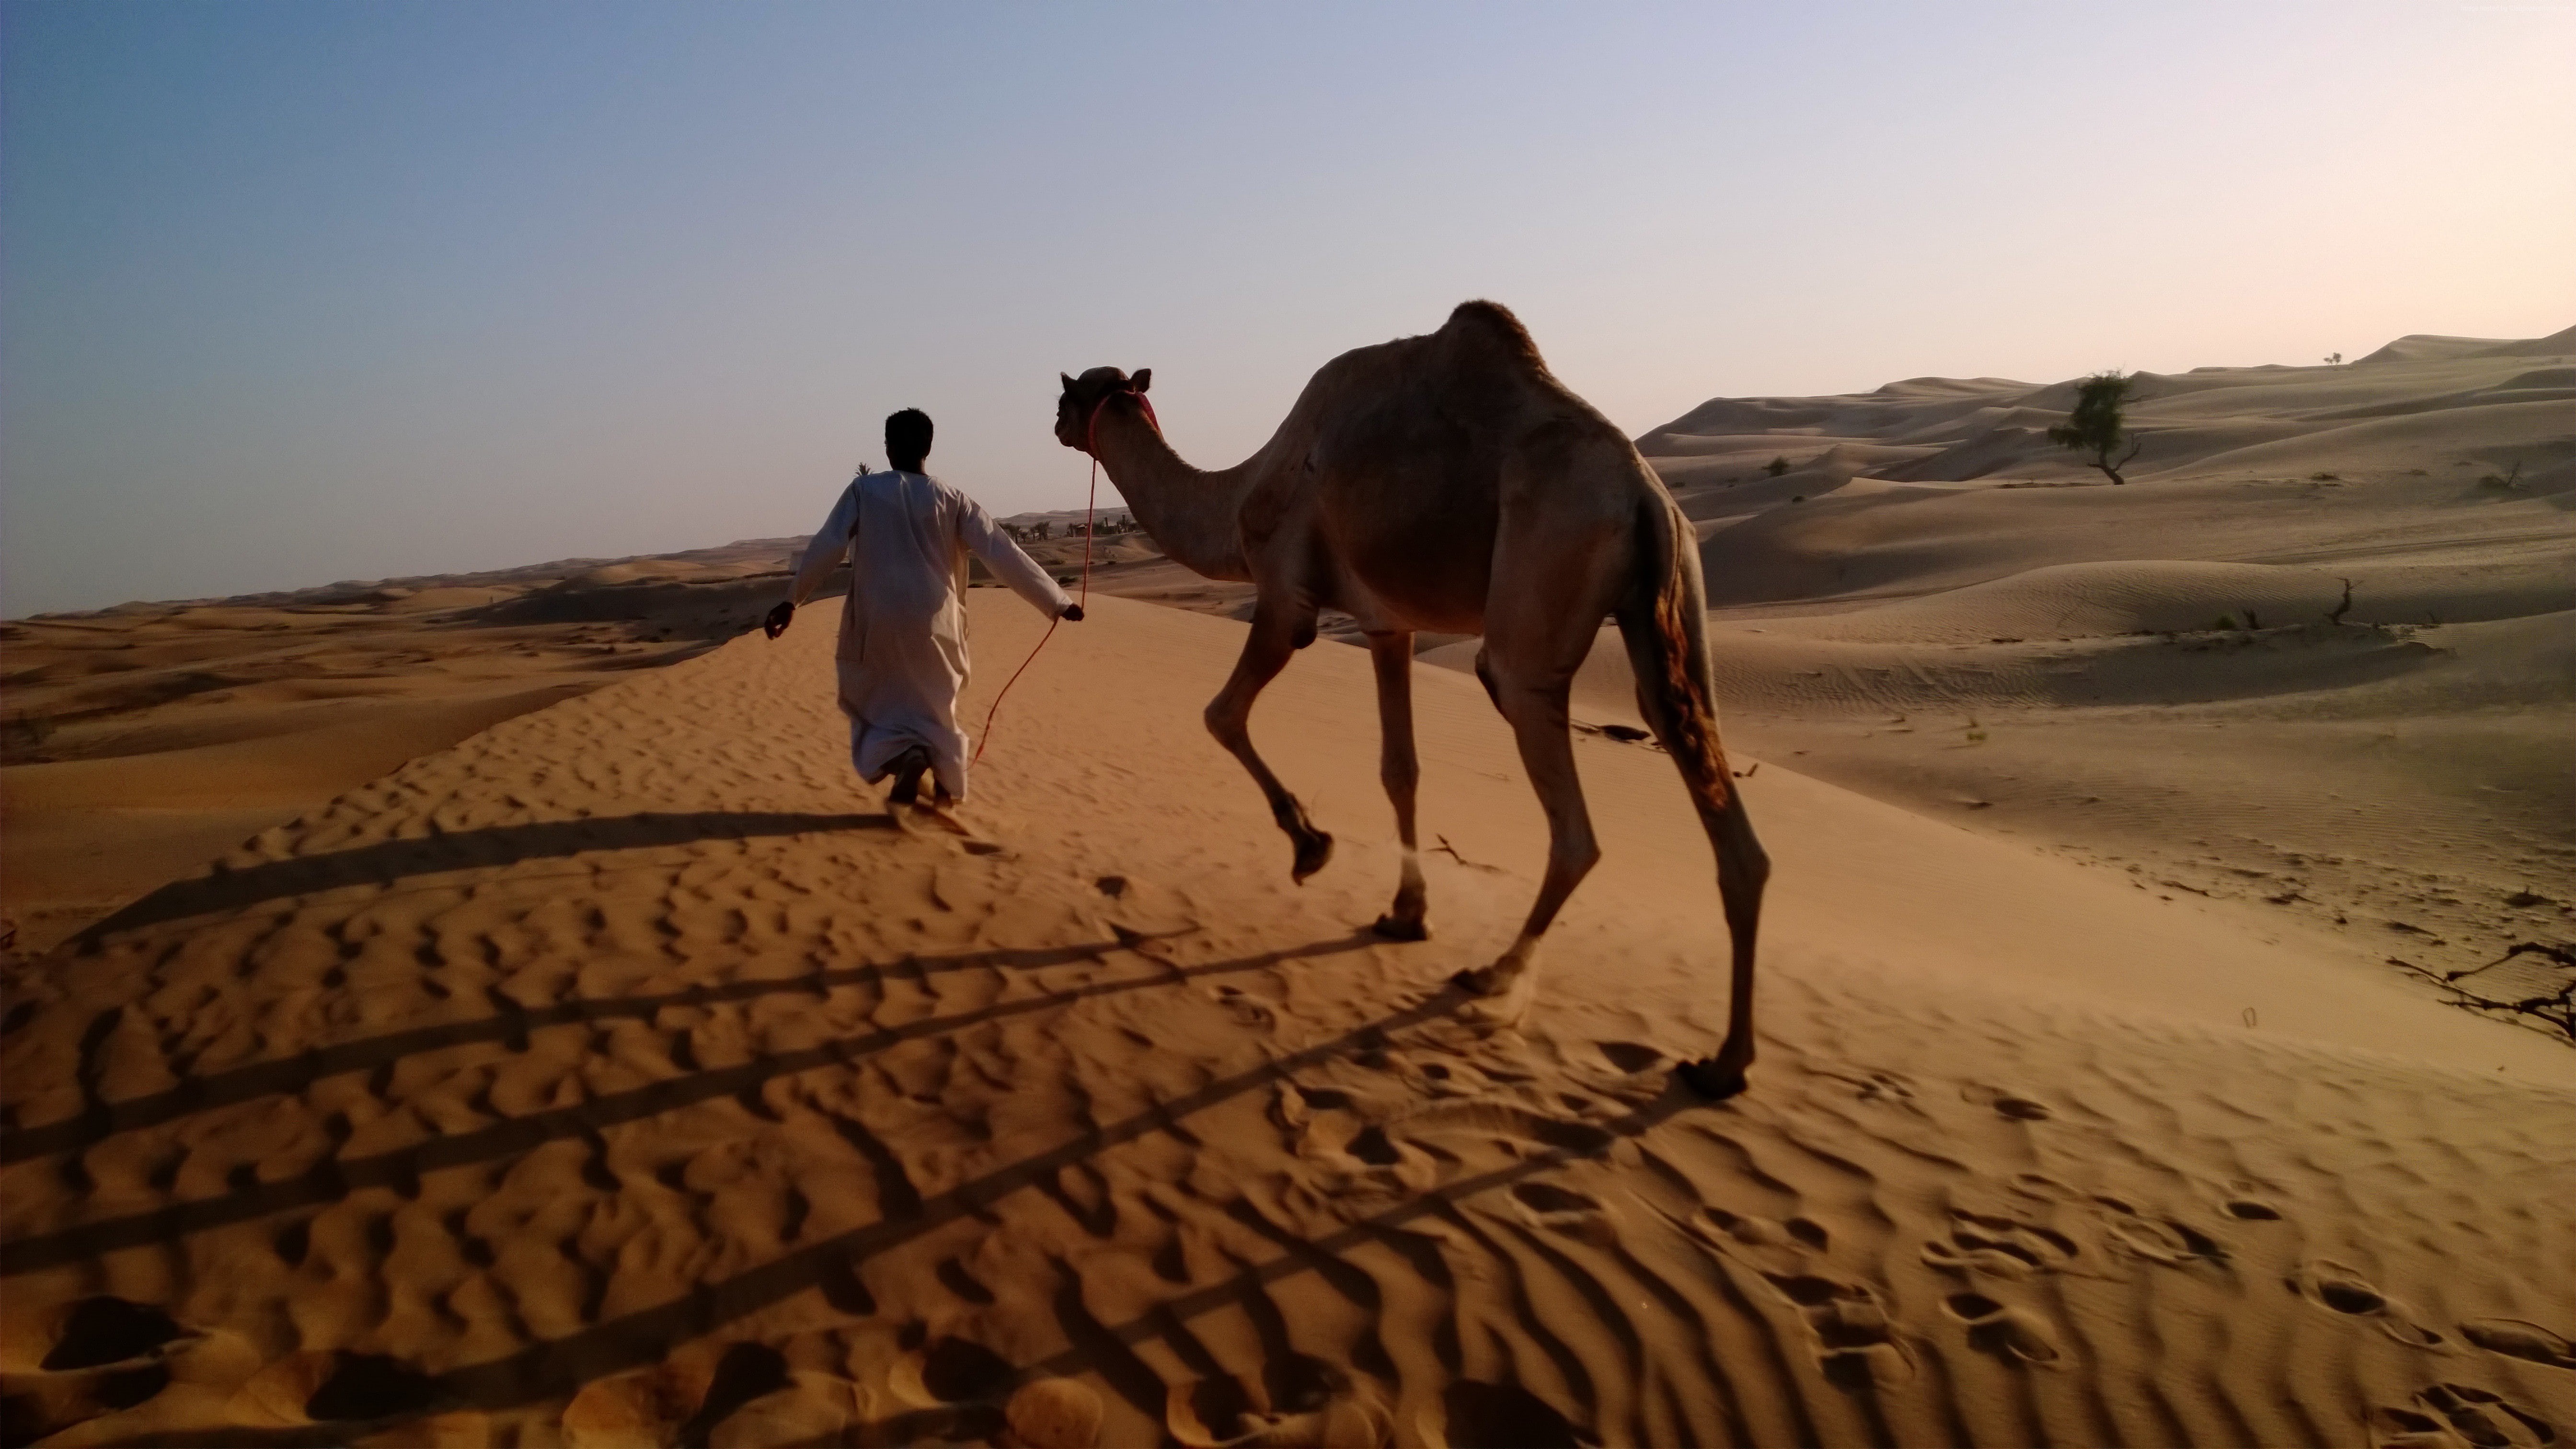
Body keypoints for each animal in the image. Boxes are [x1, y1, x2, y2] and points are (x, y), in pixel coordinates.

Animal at [1055, 301, 1769, 1098]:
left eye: (1068, 395)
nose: (1055, 423)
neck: (1240, 497)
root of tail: (1646, 498)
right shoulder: (1386, 623)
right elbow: (1400, 769)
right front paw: (1405, 913)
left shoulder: (1286, 597)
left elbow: (1222, 714)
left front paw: (1311, 846)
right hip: (1672, 611)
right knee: (1706, 775)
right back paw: (1724, 1062)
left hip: (1541, 588)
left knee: (1569, 814)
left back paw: (1494, 974)